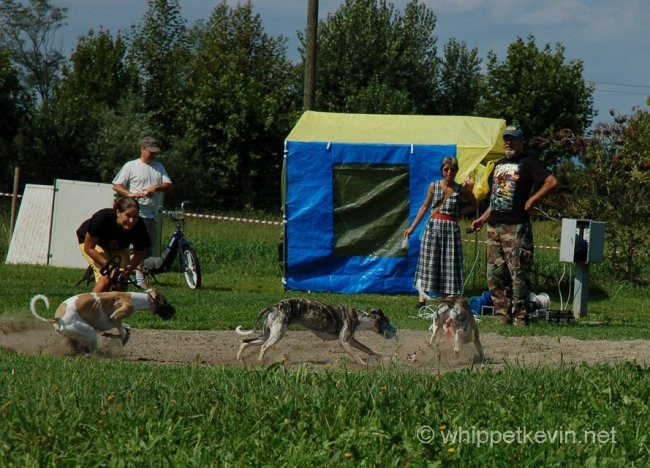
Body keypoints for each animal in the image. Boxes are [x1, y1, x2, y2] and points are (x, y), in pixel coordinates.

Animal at [29, 288, 175, 352]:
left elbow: (126, 327)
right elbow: (121, 331)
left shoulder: (116, 320)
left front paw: (119, 335)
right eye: (165, 300)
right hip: (87, 332)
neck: (134, 298)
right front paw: (119, 337)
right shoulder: (117, 315)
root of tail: (58, 319)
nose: (174, 312)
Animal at [233, 298, 394, 364]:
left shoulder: (352, 340)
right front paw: (364, 364)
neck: (360, 317)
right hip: (277, 335)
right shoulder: (344, 342)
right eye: (388, 321)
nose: (394, 331)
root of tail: (274, 306)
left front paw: (380, 357)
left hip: (266, 334)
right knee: (263, 347)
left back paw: (239, 358)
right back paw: (261, 362)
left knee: (245, 341)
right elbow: (357, 356)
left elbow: (368, 349)